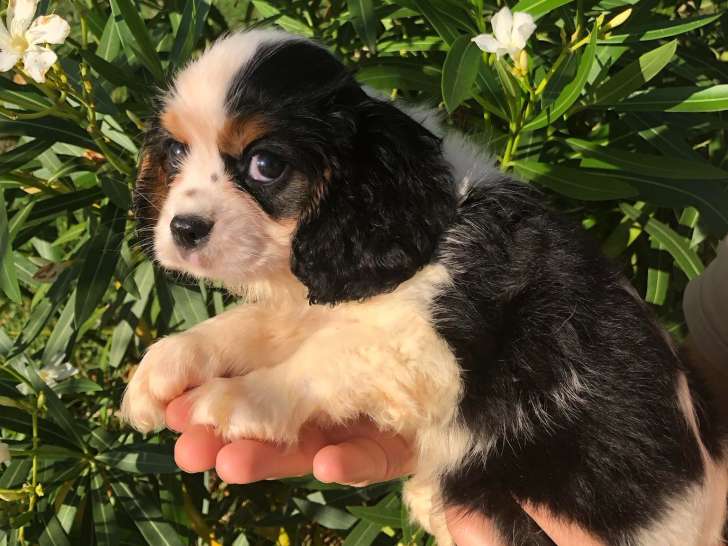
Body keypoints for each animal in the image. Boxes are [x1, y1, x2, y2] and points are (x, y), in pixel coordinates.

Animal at [121, 29, 728, 544]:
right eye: (176, 153)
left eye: (265, 165)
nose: (183, 228)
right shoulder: (310, 305)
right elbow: (243, 326)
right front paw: (165, 364)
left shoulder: (422, 349)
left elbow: (322, 358)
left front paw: (238, 399)